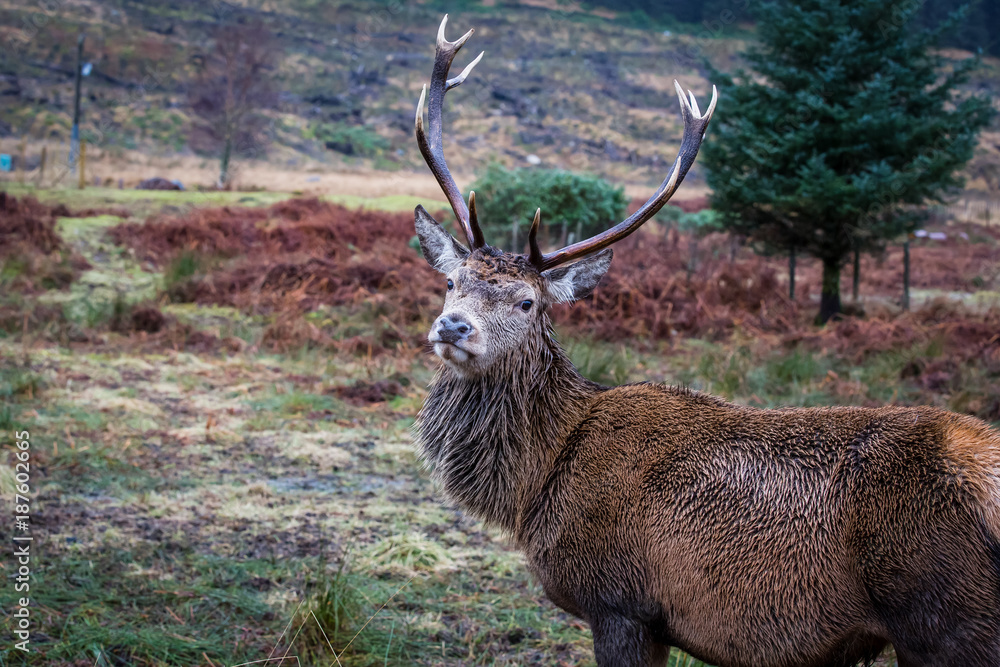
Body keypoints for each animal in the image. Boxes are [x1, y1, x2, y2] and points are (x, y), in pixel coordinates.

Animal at [411, 16, 1000, 667]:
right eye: (450, 281)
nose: (453, 326)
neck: (536, 482)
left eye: (528, 302)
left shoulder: (621, 604)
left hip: (945, 618)